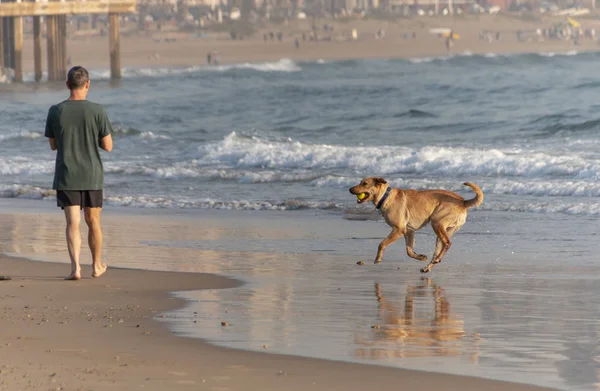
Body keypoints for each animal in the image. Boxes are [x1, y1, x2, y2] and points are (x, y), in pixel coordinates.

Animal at [346, 178, 482, 272]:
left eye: (364, 183)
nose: (350, 189)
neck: (386, 197)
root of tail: (463, 202)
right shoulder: (409, 231)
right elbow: (409, 251)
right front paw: (421, 257)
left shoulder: (399, 230)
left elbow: (382, 244)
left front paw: (378, 258)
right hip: (443, 232)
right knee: (439, 249)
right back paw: (428, 267)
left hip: (437, 223)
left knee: (448, 243)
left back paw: (436, 260)